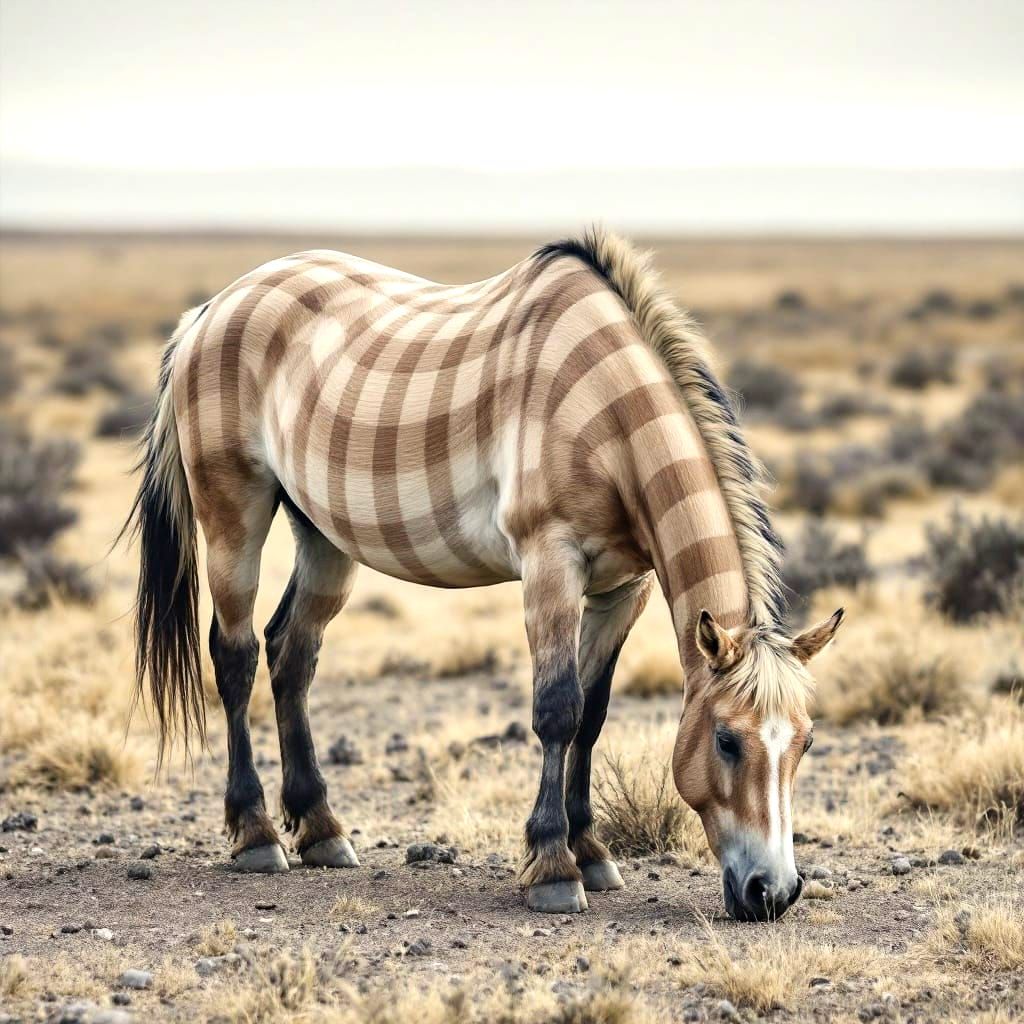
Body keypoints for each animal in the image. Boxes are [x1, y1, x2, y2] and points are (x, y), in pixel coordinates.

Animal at [124, 227, 843, 921]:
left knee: (290, 653)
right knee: (237, 655)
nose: (772, 894)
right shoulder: (551, 563)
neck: (606, 416)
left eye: (807, 742)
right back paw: (255, 835)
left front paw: (591, 852)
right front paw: (553, 868)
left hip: (323, 537)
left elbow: (592, 715)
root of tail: (210, 310)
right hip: (233, 513)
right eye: (725, 741)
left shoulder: (622, 589)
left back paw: (323, 830)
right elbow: (557, 708)